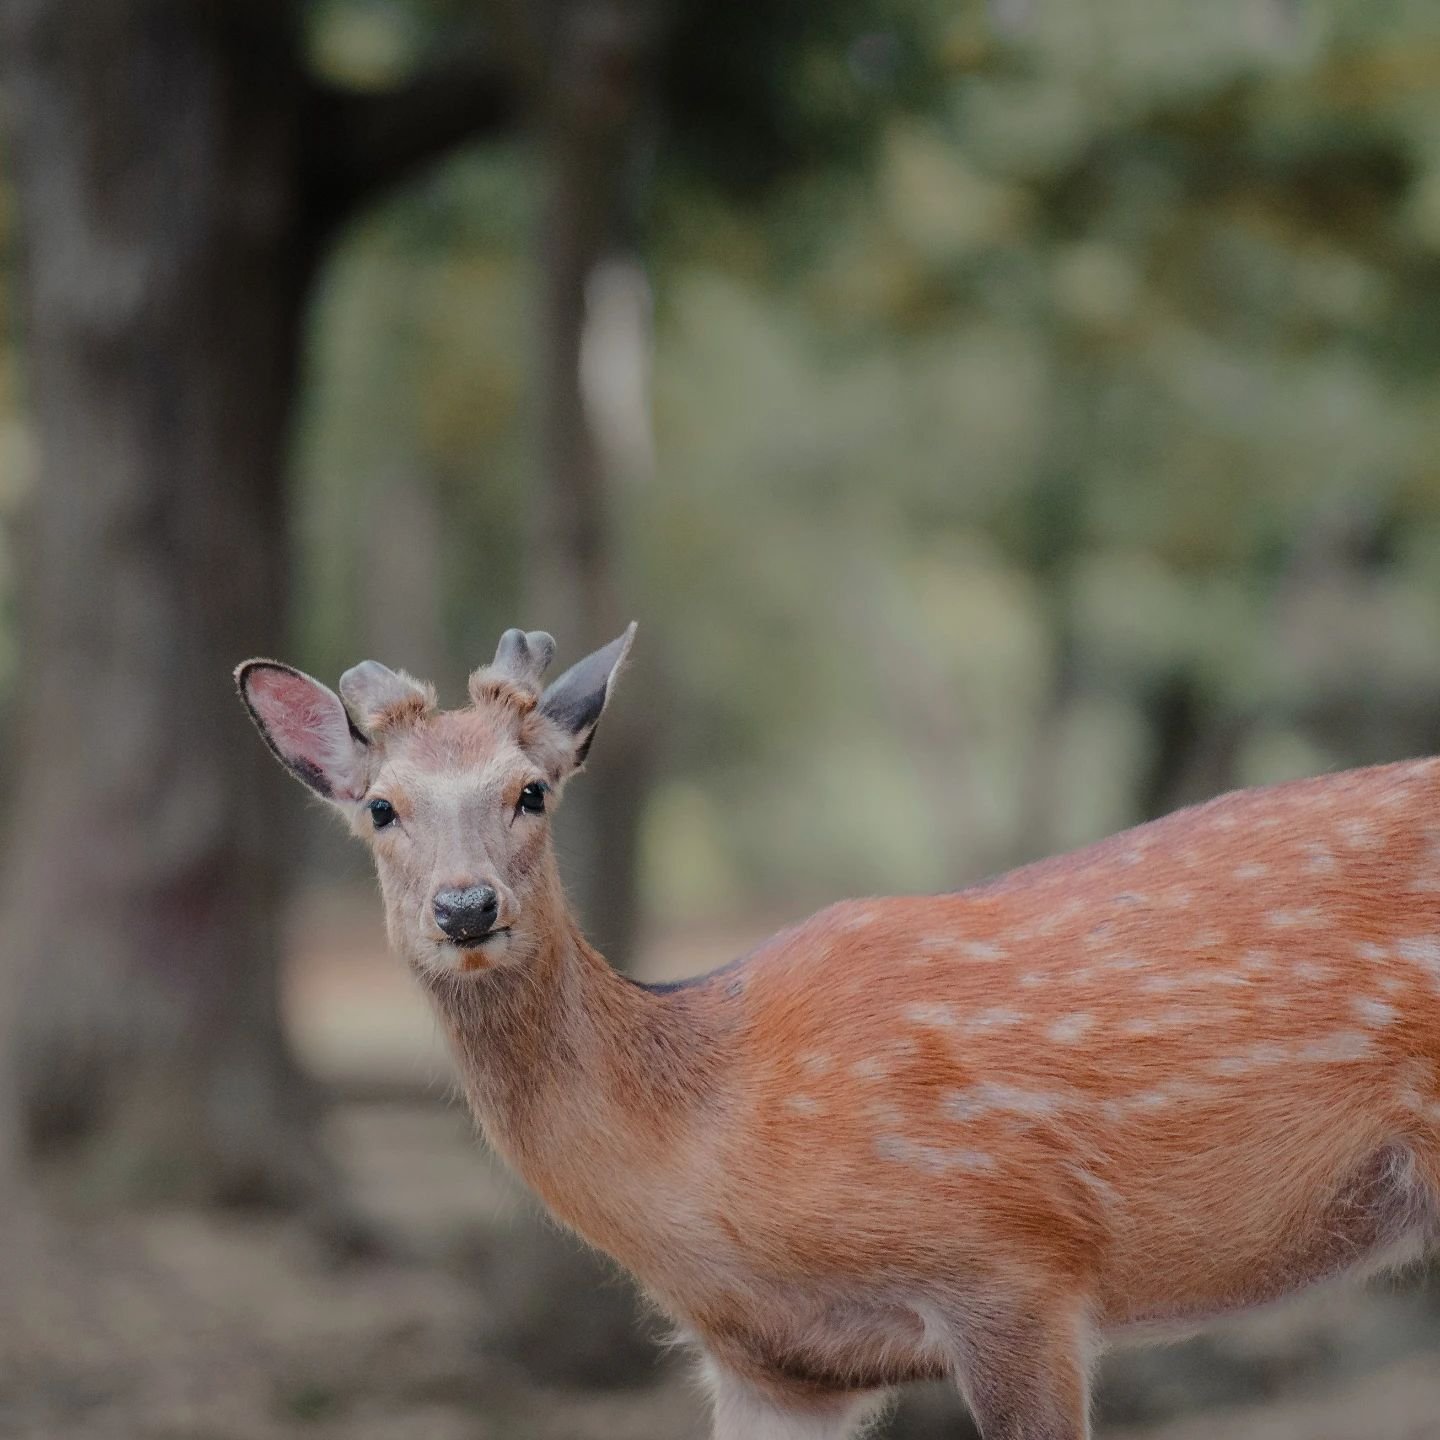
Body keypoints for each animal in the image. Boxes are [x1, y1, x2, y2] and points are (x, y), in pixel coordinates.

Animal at [237, 625, 1440, 1440]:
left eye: (532, 790)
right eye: (381, 808)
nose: (466, 907)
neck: (710, 1144)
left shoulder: (1014, 1261)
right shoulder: (773, 1366)